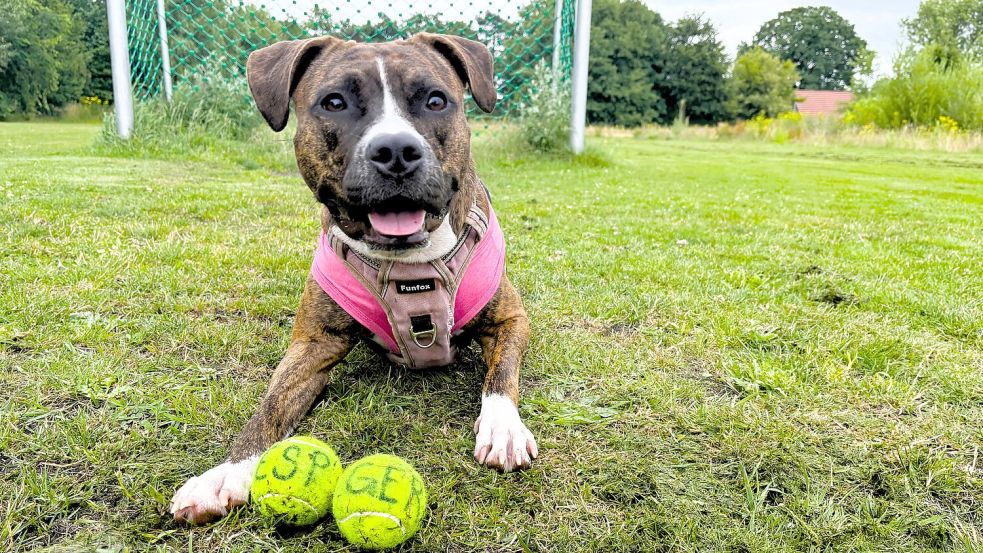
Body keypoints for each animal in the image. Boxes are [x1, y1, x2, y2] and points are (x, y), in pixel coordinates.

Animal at [169, 32, 540, 524]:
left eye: (436, 100)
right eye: (335, 102)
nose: (396, 150)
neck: (409, 263)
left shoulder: (510, 321)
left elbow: (501, 377)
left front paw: (503, 429)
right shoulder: (313, 346)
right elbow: (270, 405)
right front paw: (226, 472)